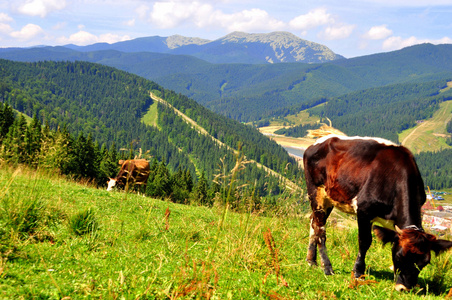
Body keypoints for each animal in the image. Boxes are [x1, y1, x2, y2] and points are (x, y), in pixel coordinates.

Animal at [304, 135, 452, 292]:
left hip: (329, 199)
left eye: (424, 263)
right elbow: (364, 241)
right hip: (316, 193)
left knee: (313, 223)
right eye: (399, 256)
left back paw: (311, 261)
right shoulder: (363, 210)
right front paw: (358, 273)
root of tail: (320, 141)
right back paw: (327, 267)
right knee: (320, 229)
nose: (403, 288)